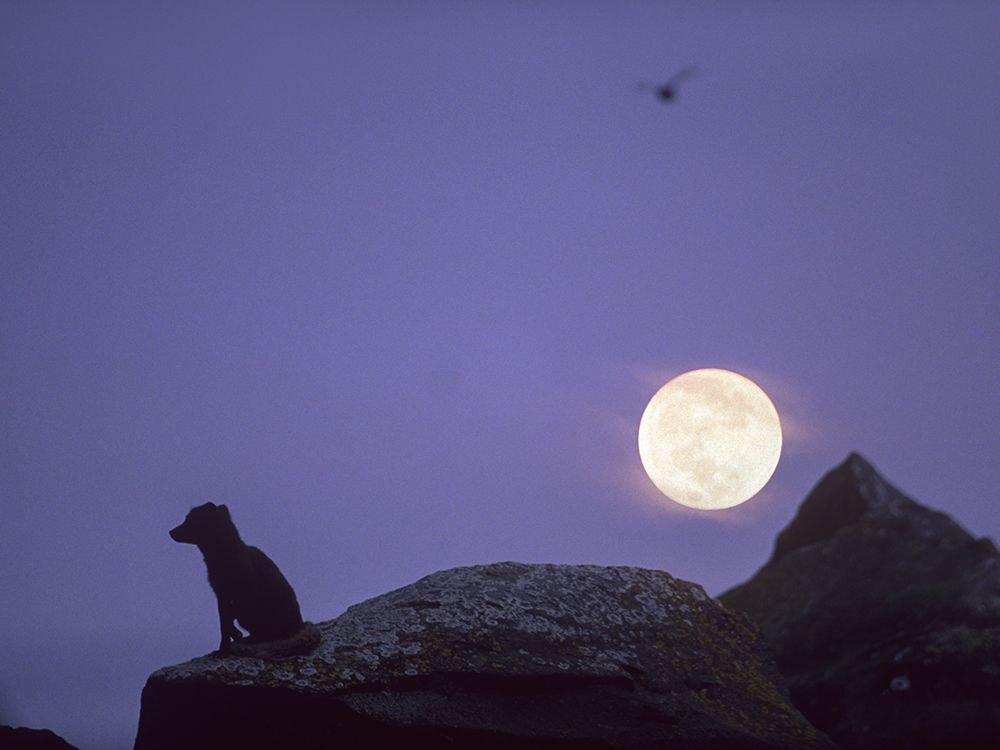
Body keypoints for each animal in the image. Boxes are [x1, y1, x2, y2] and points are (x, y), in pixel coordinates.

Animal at [170, 502, 320, 658]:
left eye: (190, 520)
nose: (170, 532)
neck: (224, 556)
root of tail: (300, 625)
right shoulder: (221, 595)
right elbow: (223, 624)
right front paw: (223, 649)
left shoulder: (245, 593)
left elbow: (228, 620)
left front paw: (233, 638)